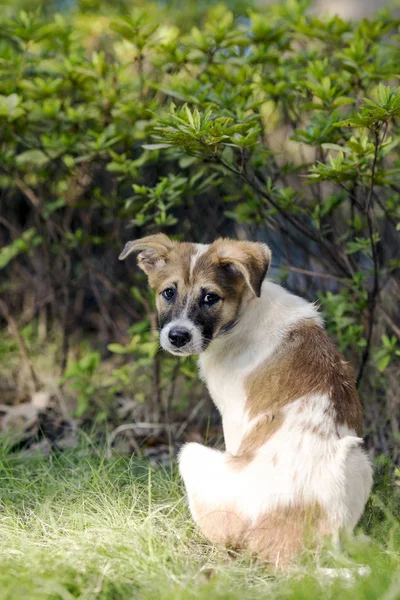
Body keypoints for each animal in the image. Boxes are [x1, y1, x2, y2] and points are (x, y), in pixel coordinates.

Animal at [119, 234, 372, 568]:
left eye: (210, 298)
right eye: (168, 293)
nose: (178, 337)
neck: (245, 311)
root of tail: (288, 556)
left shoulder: (232, 418)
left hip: (191, 455)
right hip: (358, 459)